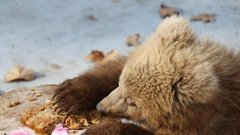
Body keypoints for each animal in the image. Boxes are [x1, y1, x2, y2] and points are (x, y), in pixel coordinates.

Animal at [53, 16, 240, 135]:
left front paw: (100, 130)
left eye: (132, 102)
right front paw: (66, 96)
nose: (101, 107)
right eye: (120, 83)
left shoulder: (214, 127)